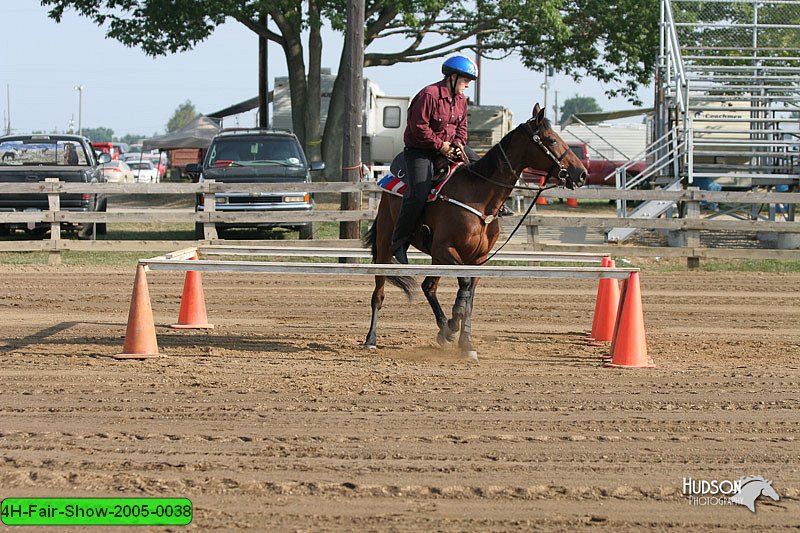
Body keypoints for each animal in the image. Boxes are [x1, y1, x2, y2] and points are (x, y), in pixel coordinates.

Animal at [362, 103, 588, 362]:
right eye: (551, 140)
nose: (581, 173)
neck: (480, 196)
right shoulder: (446, 248)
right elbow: (464, 285)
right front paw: (454, 326)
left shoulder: (478, 259)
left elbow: (469, 295)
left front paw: (464, 340)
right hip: (387, 244)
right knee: (379, 293)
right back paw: (371, 339)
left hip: (435, 258)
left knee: (429, 286)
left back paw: (443, 329)